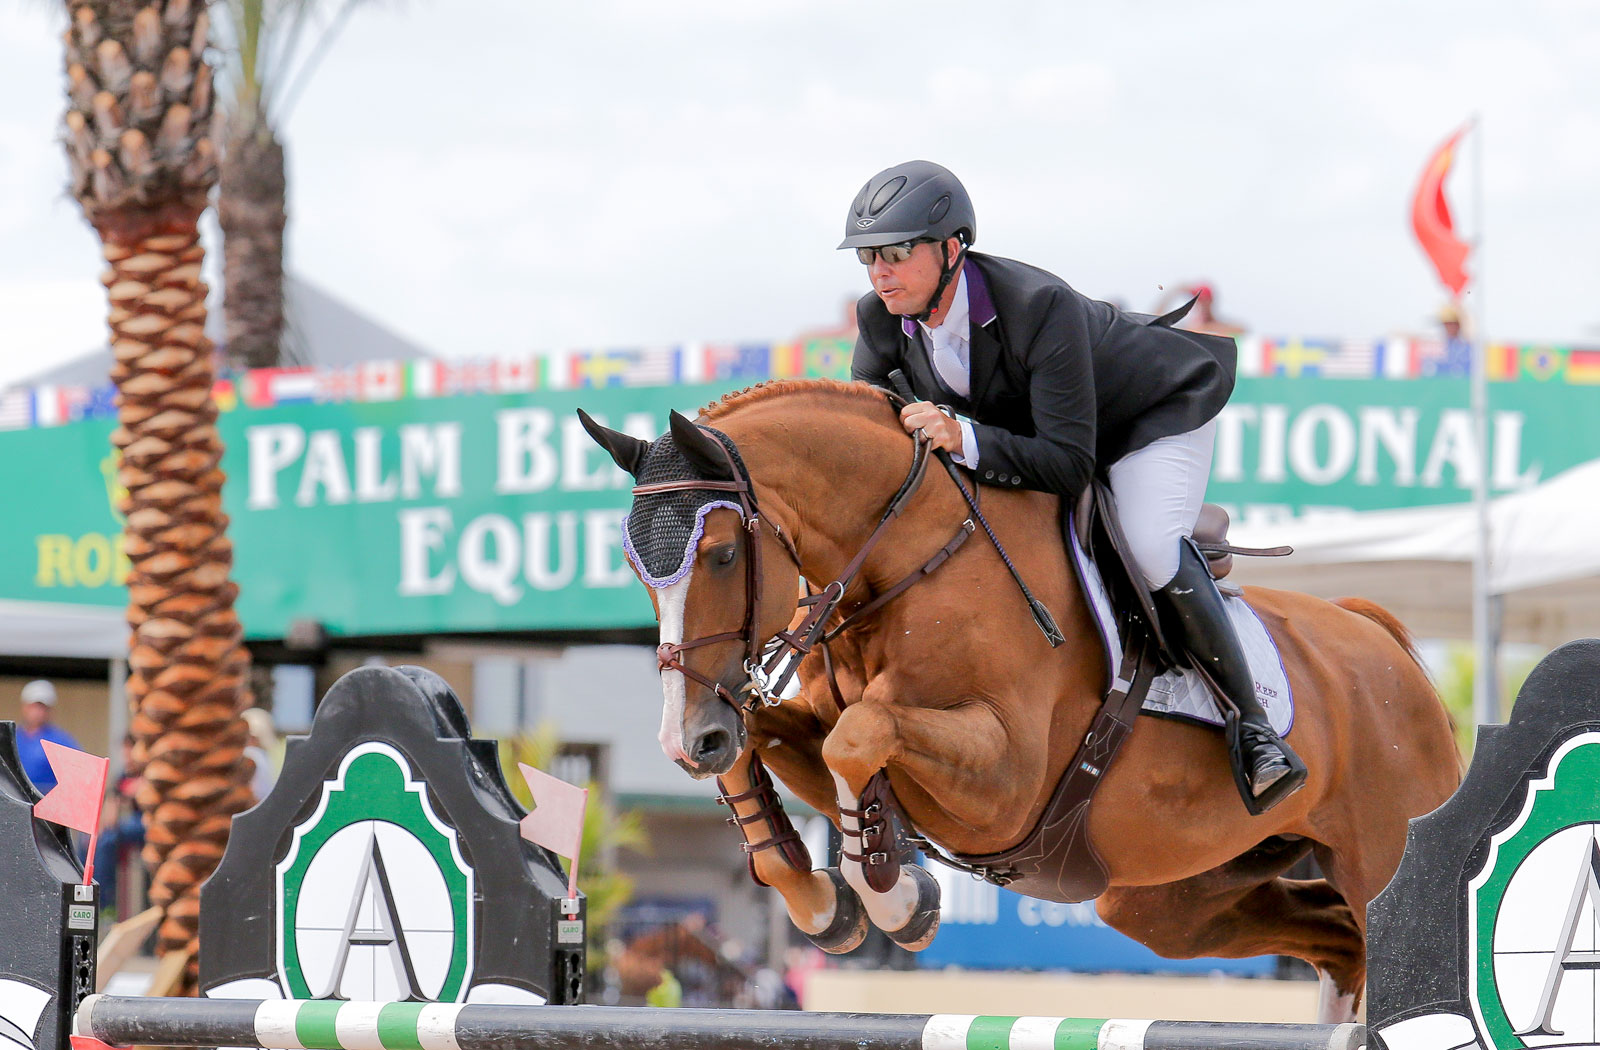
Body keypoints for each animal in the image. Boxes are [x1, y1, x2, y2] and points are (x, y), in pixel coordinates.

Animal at [585, 380, 1465, 1024]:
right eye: (634, 568)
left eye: (721, 554)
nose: (686, 740)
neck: (912, 560)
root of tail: (1378, 635)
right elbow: (771, 748)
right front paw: (825, 903)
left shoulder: (1006, 784)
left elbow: (858, 737)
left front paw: (897, 899)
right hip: (1171, 898)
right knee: (1338, 940)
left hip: (1384, 852)